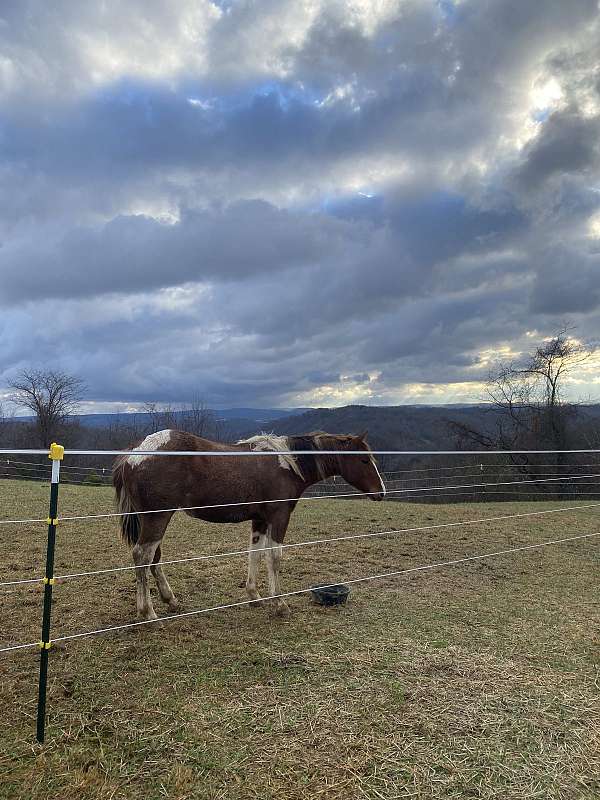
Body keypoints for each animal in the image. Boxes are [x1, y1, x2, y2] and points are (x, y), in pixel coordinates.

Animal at [112, 428, 384, 620]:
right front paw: (279, 604)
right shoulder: (278, 517)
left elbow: (255, 553)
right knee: (142, 555)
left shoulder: (259, 520)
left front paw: (254, 595)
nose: (381, 492)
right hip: (157, 517)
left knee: (153, 557)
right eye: (364, 460)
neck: (287, 463)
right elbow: (274, 557)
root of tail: (135, 453)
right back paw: (148, 612)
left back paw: (170, 600)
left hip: (154, 518)